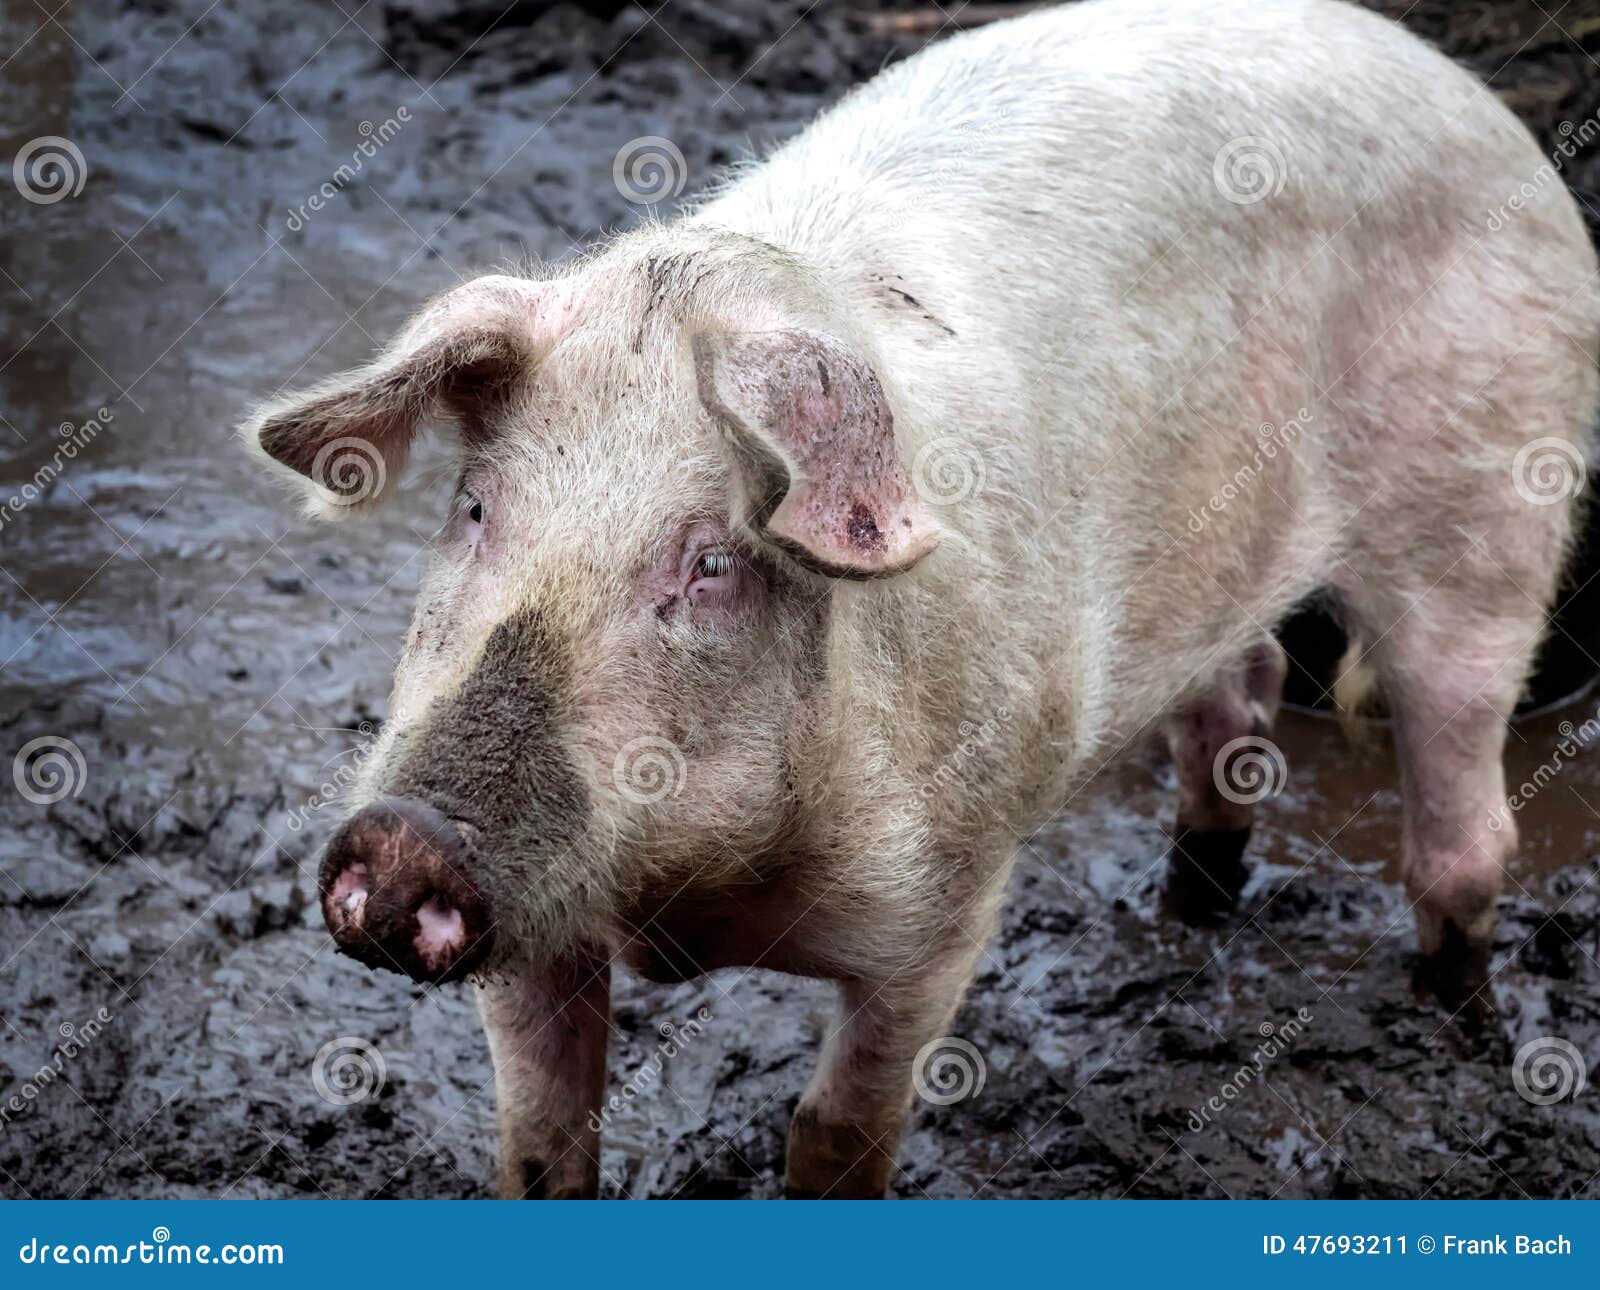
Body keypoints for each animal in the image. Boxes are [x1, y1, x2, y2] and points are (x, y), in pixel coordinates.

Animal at [243, 0, 1598, 1198]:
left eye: (709, 561)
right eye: (476, 510)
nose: (403, 834)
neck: (690, 901)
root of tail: (1464, 93)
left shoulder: (945, 903)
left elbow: (840, 1135)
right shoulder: (538, 936)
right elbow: (542, 1145)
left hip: (1490, 510)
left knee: (1464, 827)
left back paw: (1462, 1030)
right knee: (1237, 710)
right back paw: (1188, 916)